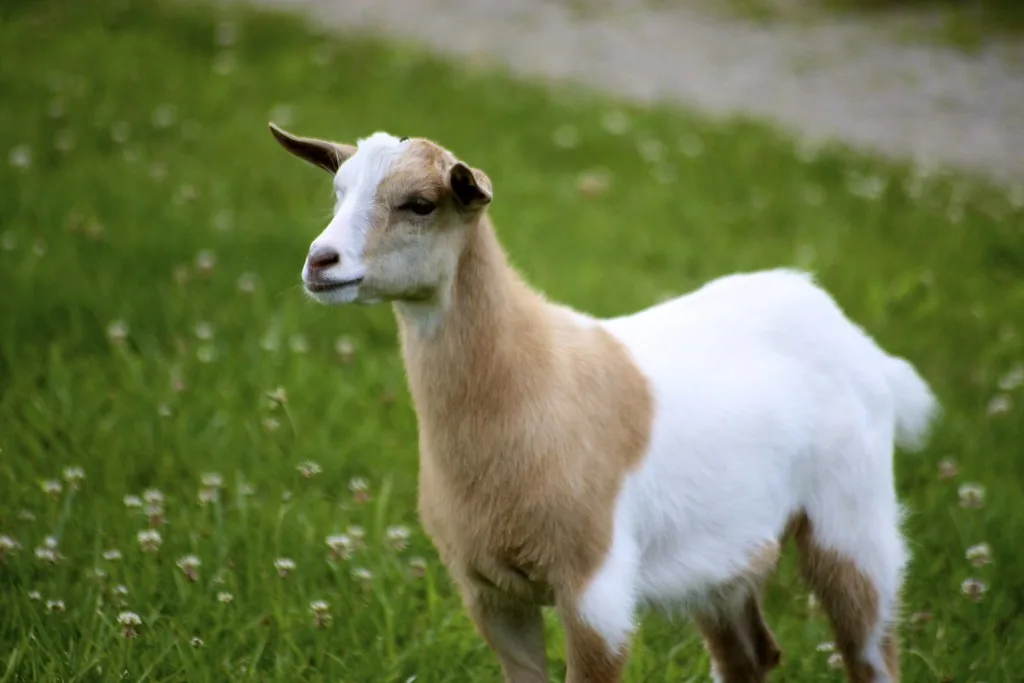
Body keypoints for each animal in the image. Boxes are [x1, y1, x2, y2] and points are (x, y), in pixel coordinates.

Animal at [268, 123, 939, 683]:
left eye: (421, 204)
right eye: (338, 192)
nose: (320, 262)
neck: (534, 378)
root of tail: (854, 339)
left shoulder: (597, 591)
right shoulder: (490, 593)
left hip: (853, 518)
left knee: (871, 651)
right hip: (725, 552)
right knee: (751, 656)